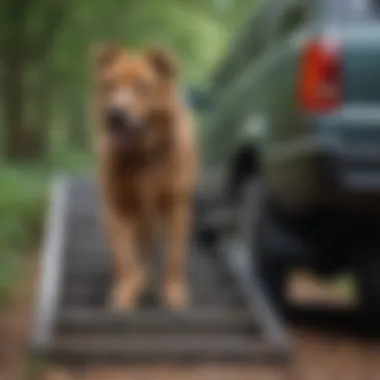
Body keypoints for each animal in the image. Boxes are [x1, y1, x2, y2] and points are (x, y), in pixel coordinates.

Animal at [91, 43, 197, 310]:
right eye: (110, 85)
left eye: (141, 86)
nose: (115, 113)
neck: (143, 155)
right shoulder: (117, 207)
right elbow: (124, 259)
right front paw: (125, 293)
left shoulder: (176, 206)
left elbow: (173, 256)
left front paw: (173, 292)